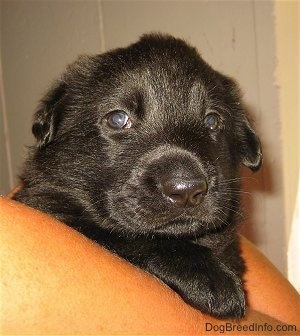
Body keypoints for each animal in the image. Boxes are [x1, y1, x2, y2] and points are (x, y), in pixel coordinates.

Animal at [14, 33, 262, 318]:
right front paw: (208, 275)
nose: (186, 189)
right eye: (118, 119)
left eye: (212, 121)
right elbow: (125, 236)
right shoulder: (47, 203)